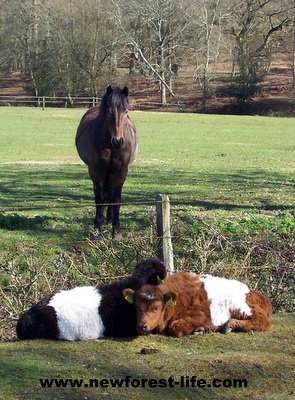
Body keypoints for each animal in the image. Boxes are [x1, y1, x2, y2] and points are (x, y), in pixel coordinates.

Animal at [75, 86, 138, 236]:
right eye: (109, 111)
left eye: (126, 111)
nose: (118, 141)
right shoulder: (97, 170)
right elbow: (99, 197)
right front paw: (98, 227)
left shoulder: (121, 171)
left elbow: (116, 198)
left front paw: (116, 229)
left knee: (109, 193)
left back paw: (109, 218)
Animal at [123, 272, 272, 338]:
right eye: (136, 307)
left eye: (156, 308)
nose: (142, 326)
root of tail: (260, 296)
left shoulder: (201, 315)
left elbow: (175, 328)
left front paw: (206, 327)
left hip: (242, 307)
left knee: (262, 322)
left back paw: (229, 325)